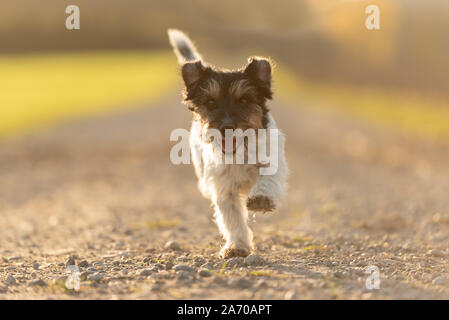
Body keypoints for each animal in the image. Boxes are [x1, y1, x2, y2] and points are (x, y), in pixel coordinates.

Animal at [167, 28, 288, 258]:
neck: (240, 152)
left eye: (244, 100)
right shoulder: (224, 189)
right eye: (211, 102)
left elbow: (268, 178)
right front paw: (237, 246)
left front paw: (261, 199)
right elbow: (232, 219)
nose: (226, 126)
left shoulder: (273, 161)